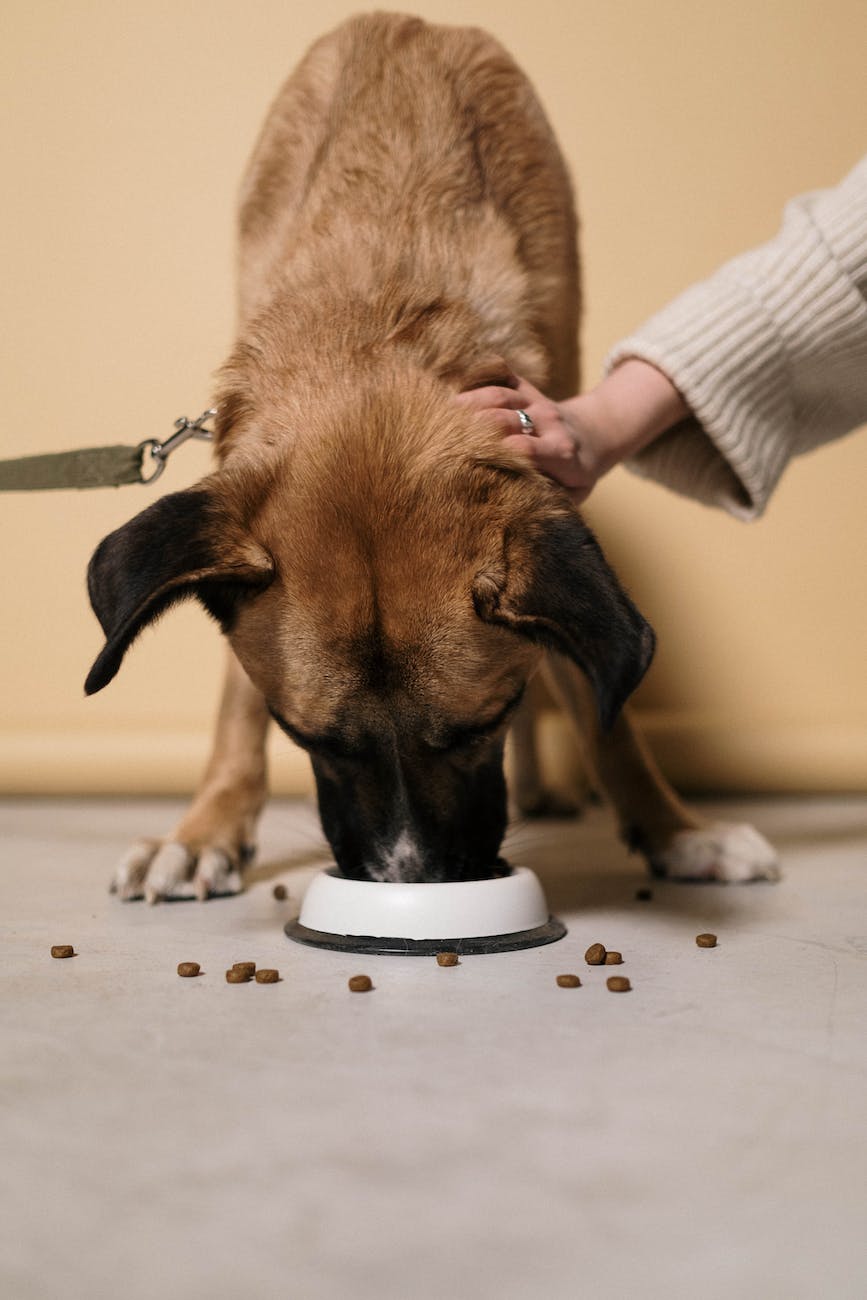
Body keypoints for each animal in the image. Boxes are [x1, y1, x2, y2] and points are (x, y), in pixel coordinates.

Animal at [86, 15, 779, 899]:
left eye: (481, 724)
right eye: (309, 738)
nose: (408, 882)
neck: (376, 322)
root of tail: (409, 21)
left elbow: (598, 695)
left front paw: (675, 830)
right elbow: (234, 700)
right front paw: (206, 827)